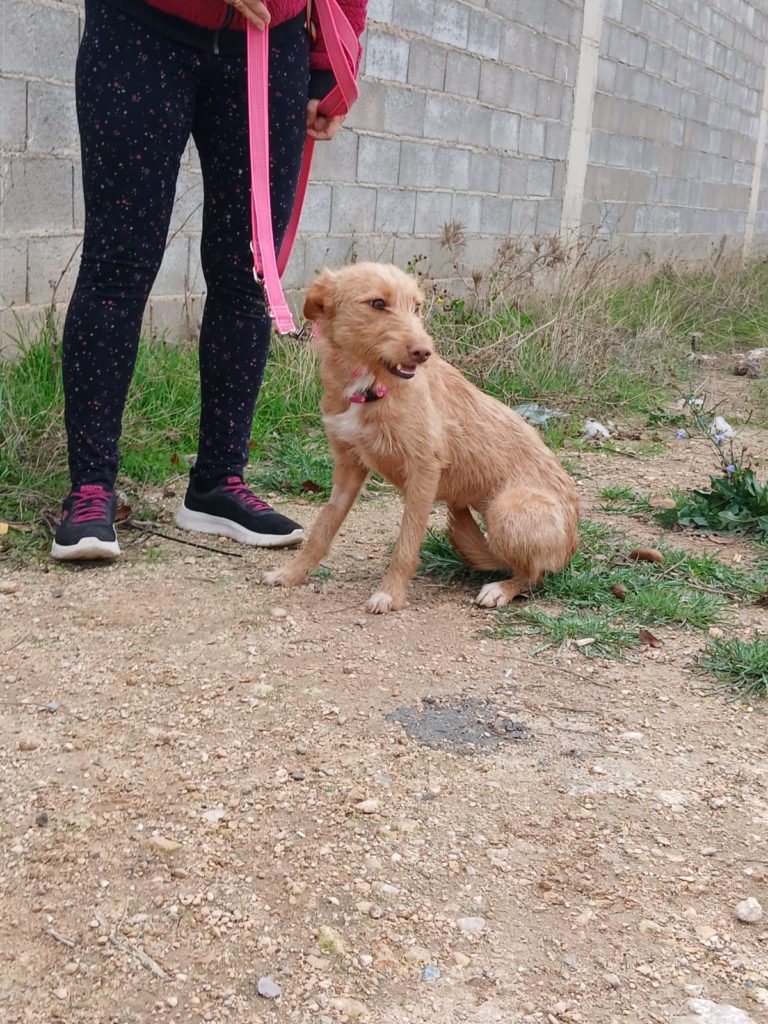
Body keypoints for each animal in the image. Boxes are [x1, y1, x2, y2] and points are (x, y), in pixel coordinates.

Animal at [262, 266, 581, 614]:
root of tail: (572, 544)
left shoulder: (424, 469)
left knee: (535, 576)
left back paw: (502, 589)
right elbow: (323, 527)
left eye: (416, 307)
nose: (423, 352)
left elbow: (406, 541)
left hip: (508, 508)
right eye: (377, 303)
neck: (370, 386)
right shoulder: (349, 466)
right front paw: (293, 573)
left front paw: (390, 594)